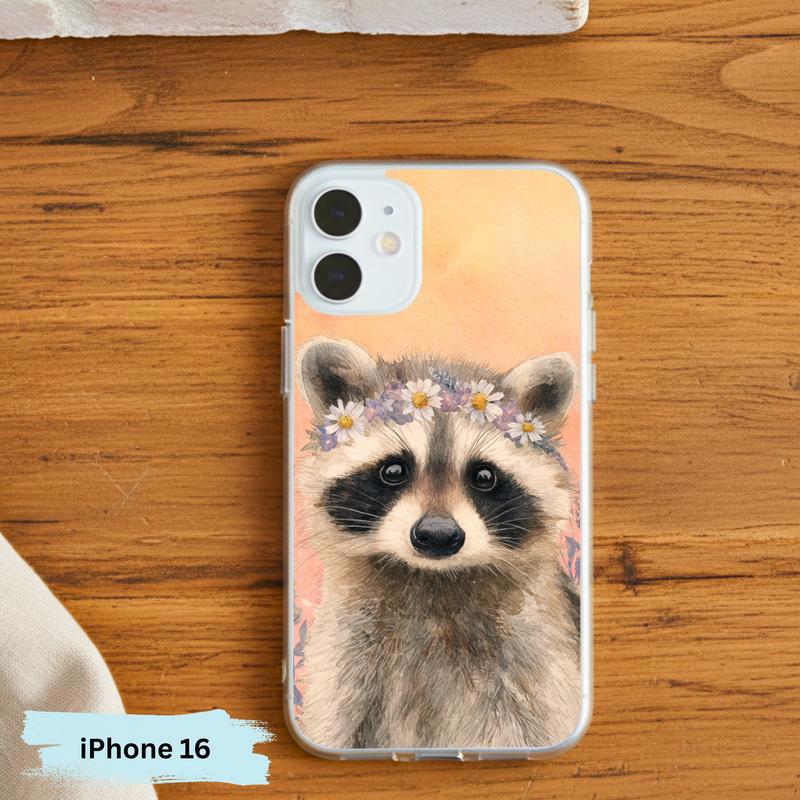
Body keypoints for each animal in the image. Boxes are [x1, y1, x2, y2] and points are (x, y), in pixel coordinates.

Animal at [295, 336, 582, 750]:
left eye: (484, 476)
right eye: (393, 470)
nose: (438, 534)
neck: (432, 582)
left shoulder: (538, 669)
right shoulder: (345, 666)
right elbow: (336, 725)